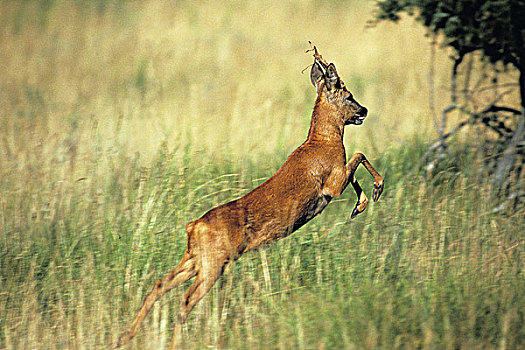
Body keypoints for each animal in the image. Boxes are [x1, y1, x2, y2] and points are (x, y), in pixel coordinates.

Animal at [115, 46, 384, 350]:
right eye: (348, 94)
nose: (364, 110)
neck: (324, 141)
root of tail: (193, 227)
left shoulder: (336, 179)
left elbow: (357, 165)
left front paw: (360, 205)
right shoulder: (332, 184)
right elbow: (359, 155)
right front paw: (373, 193)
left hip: (195, 259)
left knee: (160, 284)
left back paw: (124, 336)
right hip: (213, 263)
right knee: (185, 301)